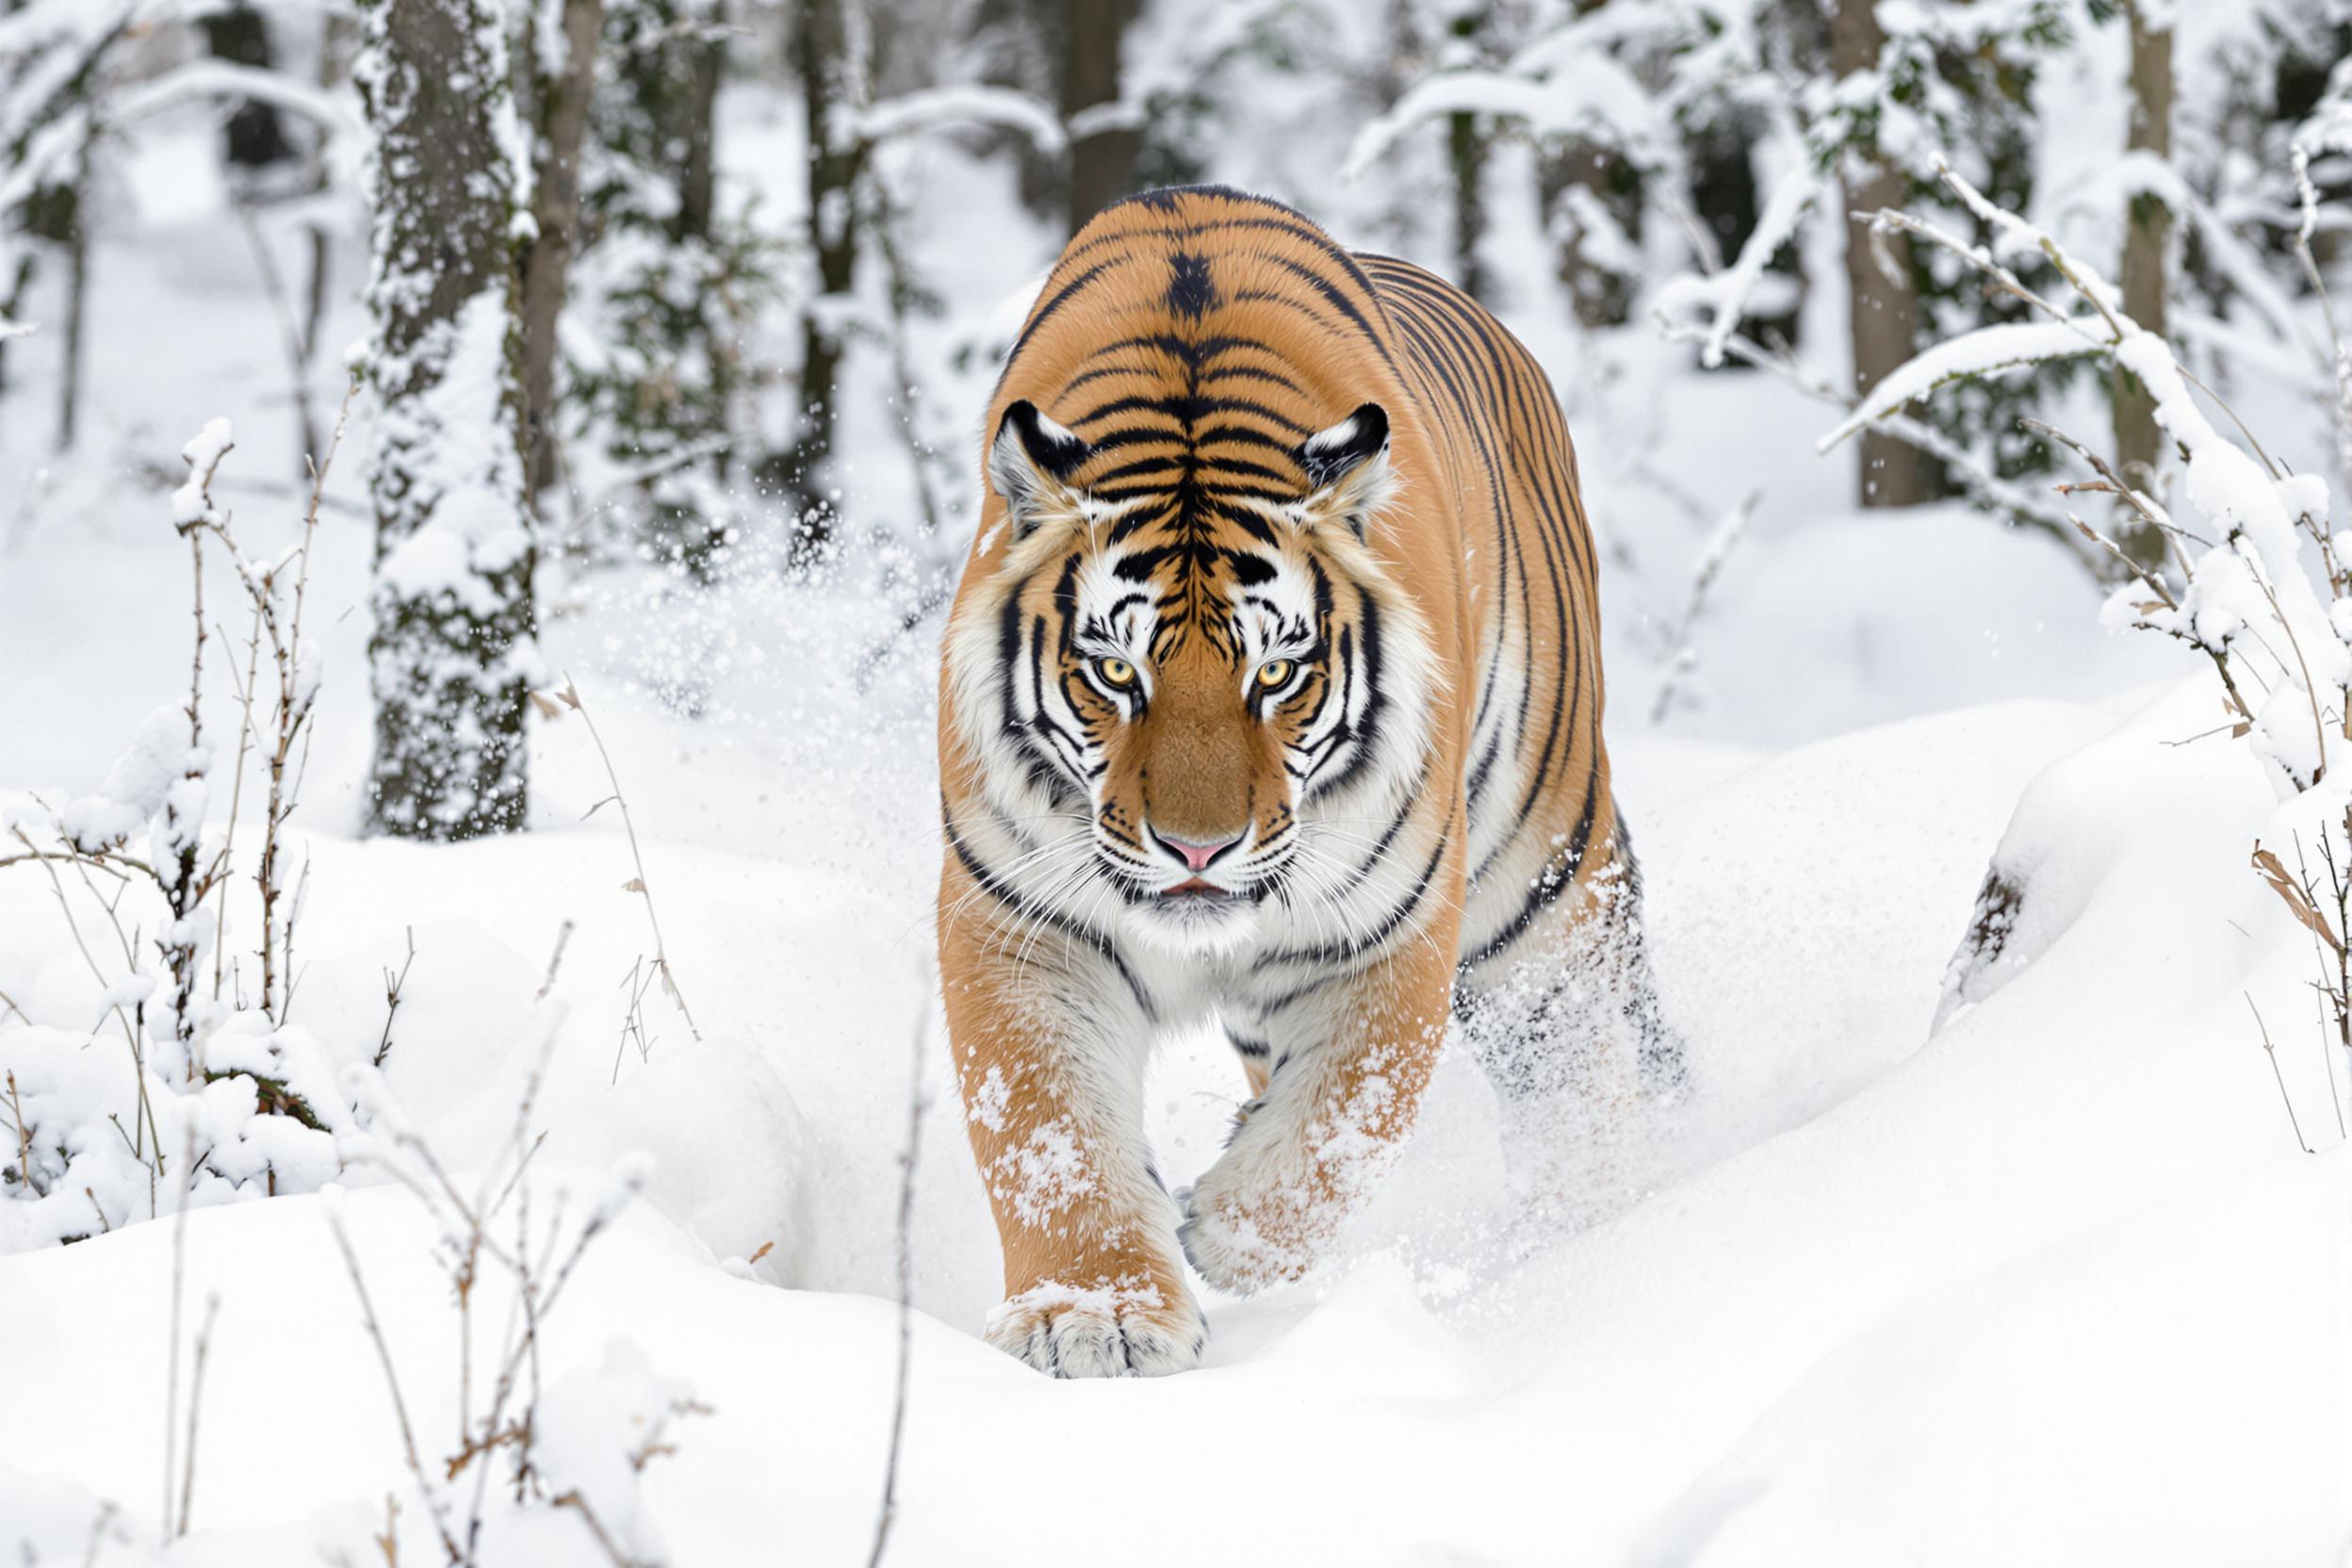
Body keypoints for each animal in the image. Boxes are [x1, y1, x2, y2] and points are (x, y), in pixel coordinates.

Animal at [936, 184, 1674, 1381]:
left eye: (1276, 672)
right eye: (1115, 672)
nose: (1197, 849)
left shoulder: (1393, 921)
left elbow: (1348, 1111)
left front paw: (1228, 1232)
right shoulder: (1022, 923)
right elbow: (1047, 1134)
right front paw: (1094, 1314)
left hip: (1544, 882)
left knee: (1578, 1060)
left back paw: (1591, 1228)